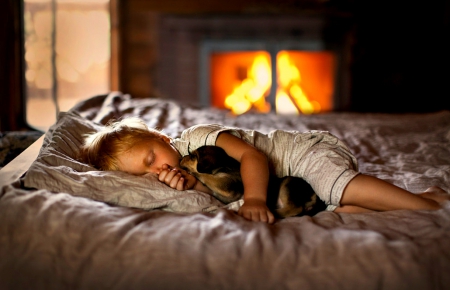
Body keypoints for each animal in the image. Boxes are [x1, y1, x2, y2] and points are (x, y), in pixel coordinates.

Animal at [180, 145, 326, 218]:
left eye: (192, 156)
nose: (181, 158)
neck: (222, 164)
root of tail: (316, 196)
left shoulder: (228, 185)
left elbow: (204, 175)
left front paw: (191, 172)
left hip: (288, 185)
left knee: (295, 208)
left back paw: (274, 212)